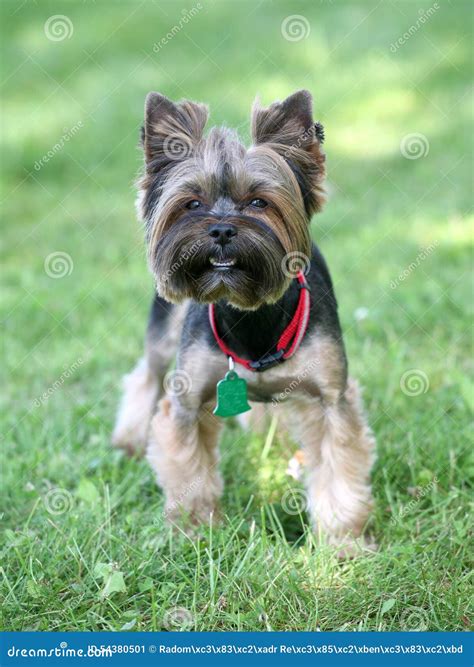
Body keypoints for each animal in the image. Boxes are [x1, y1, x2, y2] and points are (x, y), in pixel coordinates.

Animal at [113, 88, 376, 552]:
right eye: (192, 204)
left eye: (259, 202)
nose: (220, 229)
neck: (250, 316)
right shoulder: (187, 401)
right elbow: (188, 470)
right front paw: (195, 533)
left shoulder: (331, 398)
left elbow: (340, 471)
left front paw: (343, 544)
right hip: (163, 335)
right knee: (146, 374)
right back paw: (129, 440)